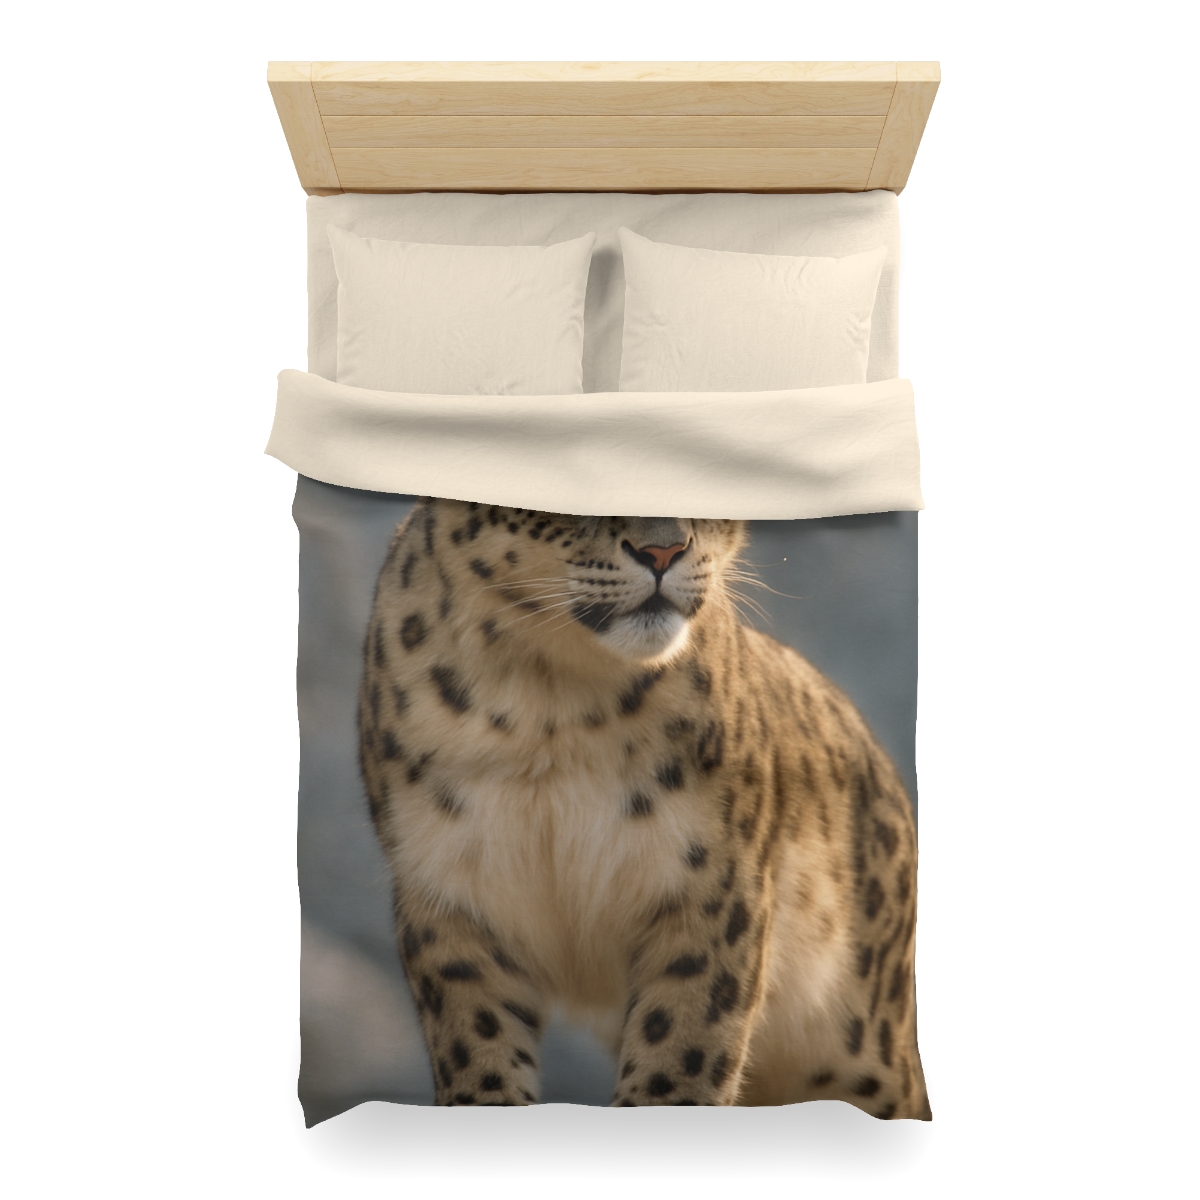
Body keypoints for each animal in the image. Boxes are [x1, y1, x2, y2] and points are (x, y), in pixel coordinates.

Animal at [358, 498, 929, 1116]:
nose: (663, 551)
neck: (548, 700)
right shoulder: (449, 894)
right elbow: (477, 1047)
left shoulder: (712, 890)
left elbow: (678, 1056)